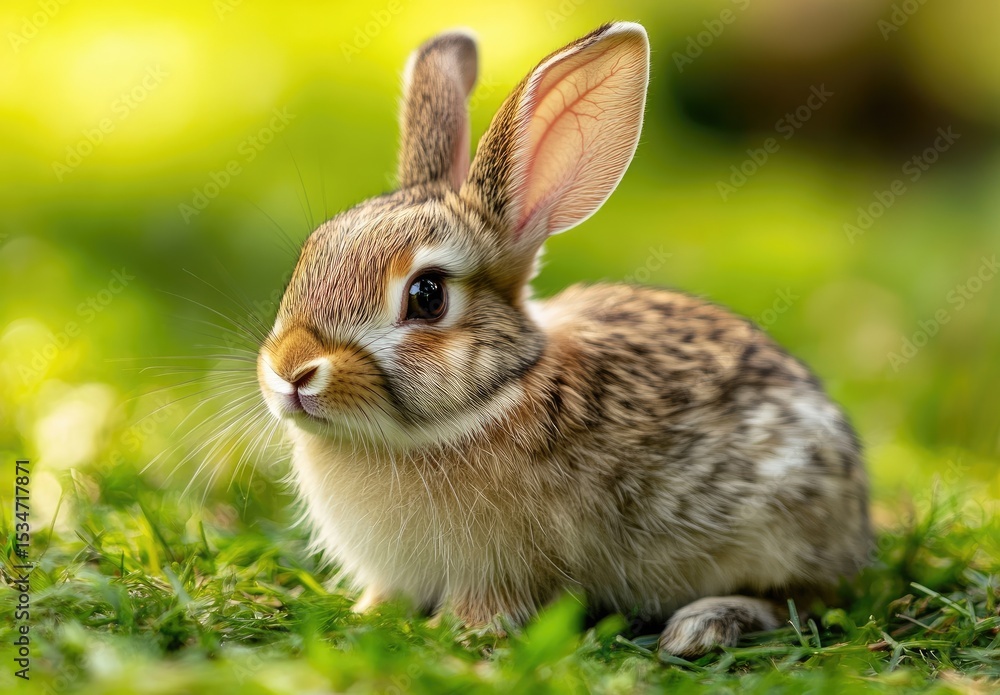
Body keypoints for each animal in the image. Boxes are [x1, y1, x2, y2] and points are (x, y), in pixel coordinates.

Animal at [256, 22, 871, 657]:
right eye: (309, 256)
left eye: (427, 296)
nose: (292, 370)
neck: (496, 395)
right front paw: (369, 614)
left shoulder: (499, 568)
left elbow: (488, 605)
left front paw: (459, 630)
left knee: (799, 600)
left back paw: (703, 626)